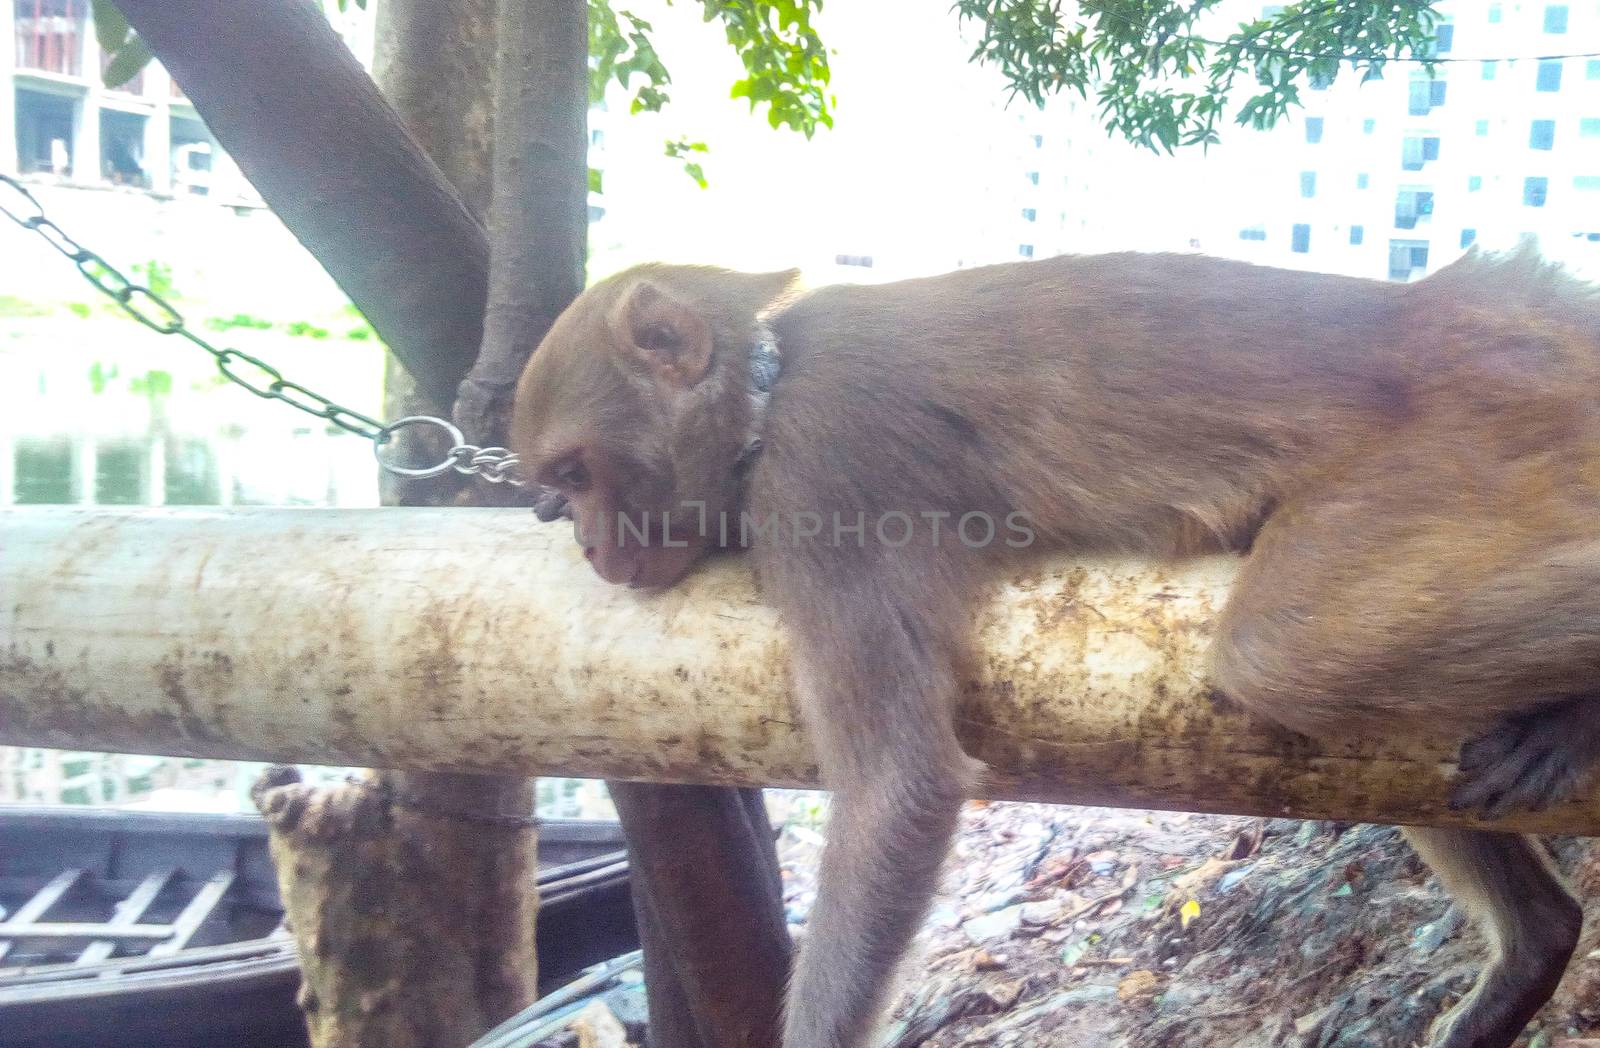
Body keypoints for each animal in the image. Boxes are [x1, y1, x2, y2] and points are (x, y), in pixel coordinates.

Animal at [512, 249, 1600, 1048]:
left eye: (574, 473)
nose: (587, 542)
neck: (767, 387)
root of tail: (1492, 311)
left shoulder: (822, 475)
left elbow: (898, 786)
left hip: (1476, 438)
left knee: (1291, 653)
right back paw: (1534, 950)